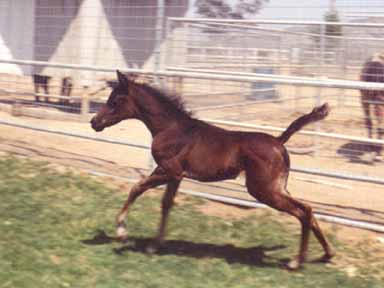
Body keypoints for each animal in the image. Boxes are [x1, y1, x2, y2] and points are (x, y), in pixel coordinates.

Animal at [91, 70, 334, 270]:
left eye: (115, 101)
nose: (94, 122)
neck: (171, 128)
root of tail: (278, 141)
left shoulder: (168, 171)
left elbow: (137, 188)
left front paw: (122, 232)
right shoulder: (176, 176)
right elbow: (166, 204)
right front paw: (155, 245)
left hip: (263, 190)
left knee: (303, 211)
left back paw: (296, 262)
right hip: (278, 187)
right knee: (308, 210)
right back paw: (326, 255)